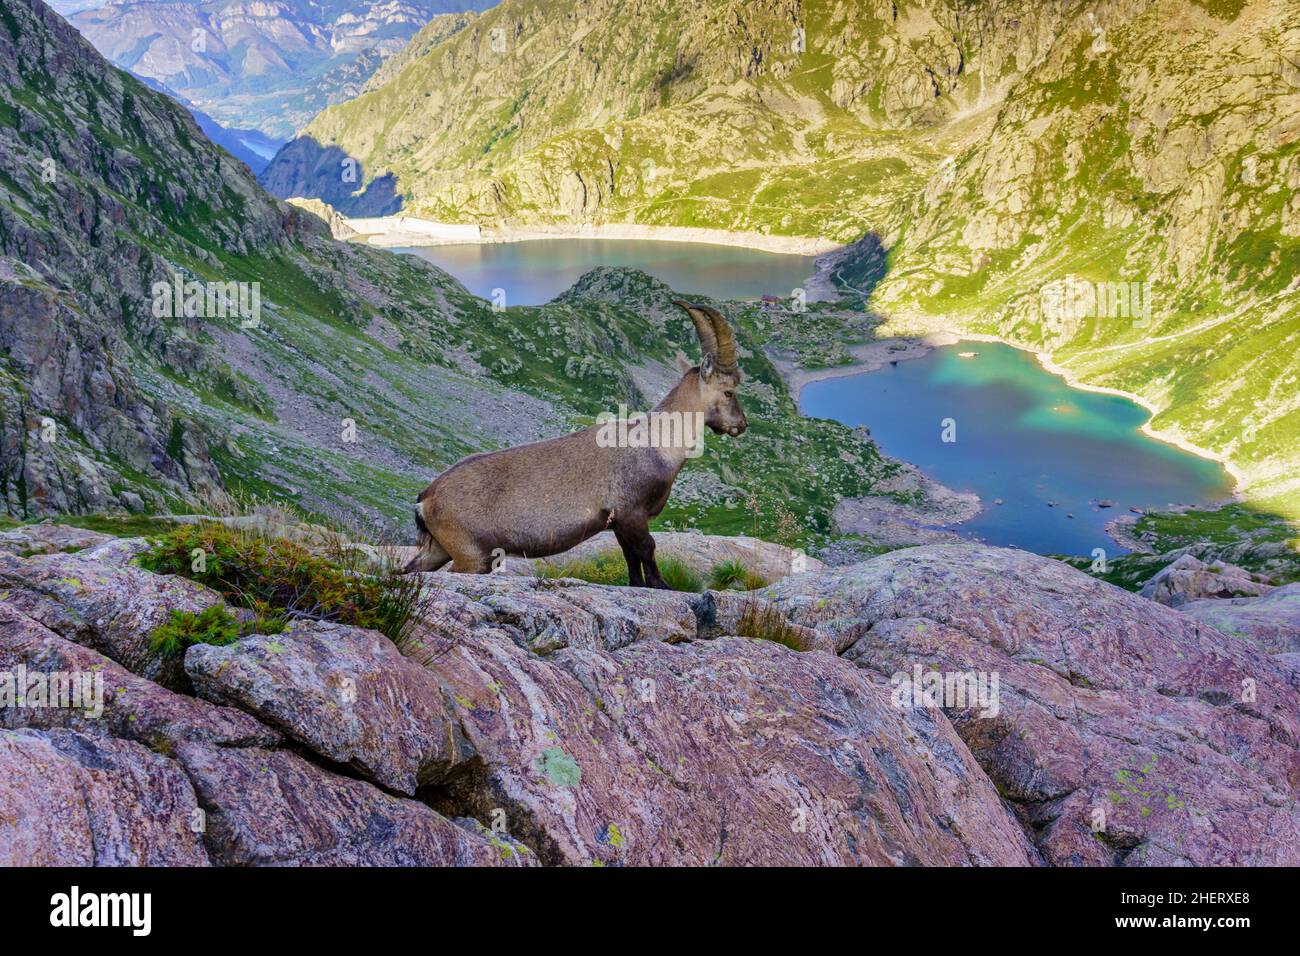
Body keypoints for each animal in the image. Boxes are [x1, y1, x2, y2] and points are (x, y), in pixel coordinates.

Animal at [402, 300, 747, 587]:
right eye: (729, 391)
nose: (741, 425)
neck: (657, 441)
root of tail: (426, 496)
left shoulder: (619, 522)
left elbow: (630, 557)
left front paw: (638, 585)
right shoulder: (632, 512)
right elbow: (647, 549)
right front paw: (662, 586)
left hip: (439, 548)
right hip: (471, 554)